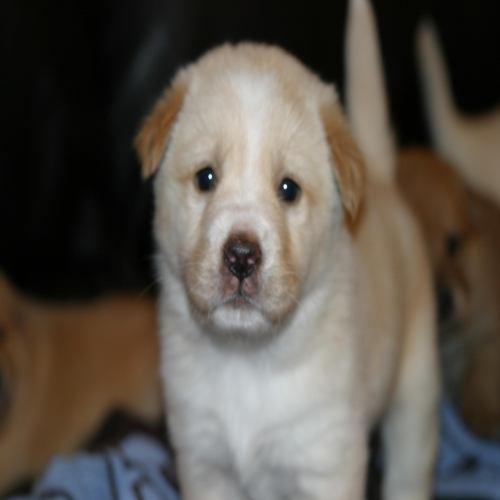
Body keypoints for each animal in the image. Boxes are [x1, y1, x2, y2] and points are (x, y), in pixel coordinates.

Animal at [135, 0, 440, 496]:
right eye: (205, 177)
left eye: (288, 189)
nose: (241, 256)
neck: (245, 361)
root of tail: (379, 177)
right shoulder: (203, 459)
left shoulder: (326, 463)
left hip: (416, 390)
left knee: (409, 469)